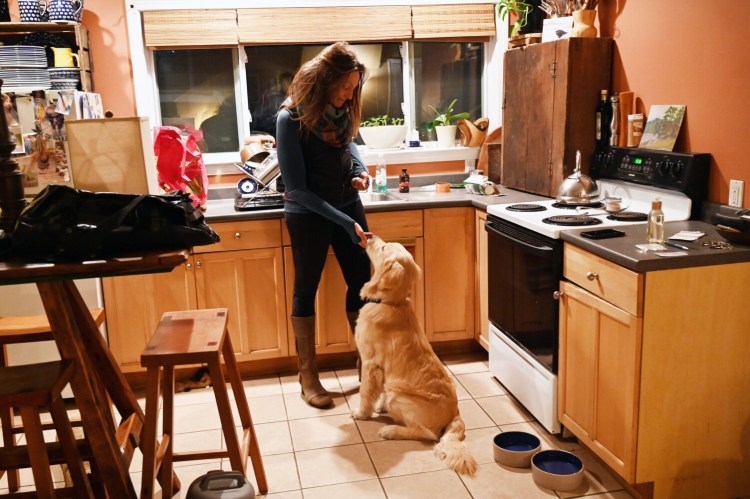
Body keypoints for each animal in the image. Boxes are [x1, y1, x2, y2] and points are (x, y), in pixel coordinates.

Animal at [356, 236, 478, 478]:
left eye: (383, 247)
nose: (370, 235)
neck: (391, 303)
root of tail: (455, 413)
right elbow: (378, 391)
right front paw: (379, 406)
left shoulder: (370, 363)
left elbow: (366, 391)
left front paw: (361, 413)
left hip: (399, 396)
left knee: (425, 433)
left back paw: (390, 430)